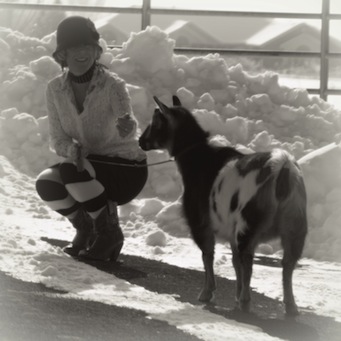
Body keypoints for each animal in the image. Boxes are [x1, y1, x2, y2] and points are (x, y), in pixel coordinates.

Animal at [139, 95, 306, 314]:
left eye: (156, 122)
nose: (140, 141)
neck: (197, 158)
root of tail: (281, 168)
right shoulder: (231, 229)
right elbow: (234, 262)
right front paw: (234, 293)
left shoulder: (201, 223)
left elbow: (207, 255)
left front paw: (207, 292)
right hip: (294, 224)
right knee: (287, 263)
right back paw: (290, 306)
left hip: (248, 222)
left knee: (248, 260)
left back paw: (245, 302)